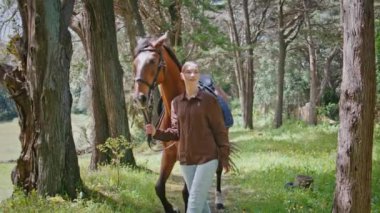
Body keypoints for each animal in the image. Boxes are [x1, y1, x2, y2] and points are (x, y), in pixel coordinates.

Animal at [132, 32, 224, 211]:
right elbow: (159, 187)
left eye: (152, 61)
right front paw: (170, 208)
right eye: (134, 63)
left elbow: (187, 192)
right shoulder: (169, 153)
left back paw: (219, 200)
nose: (140, 98)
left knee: (219, 170)